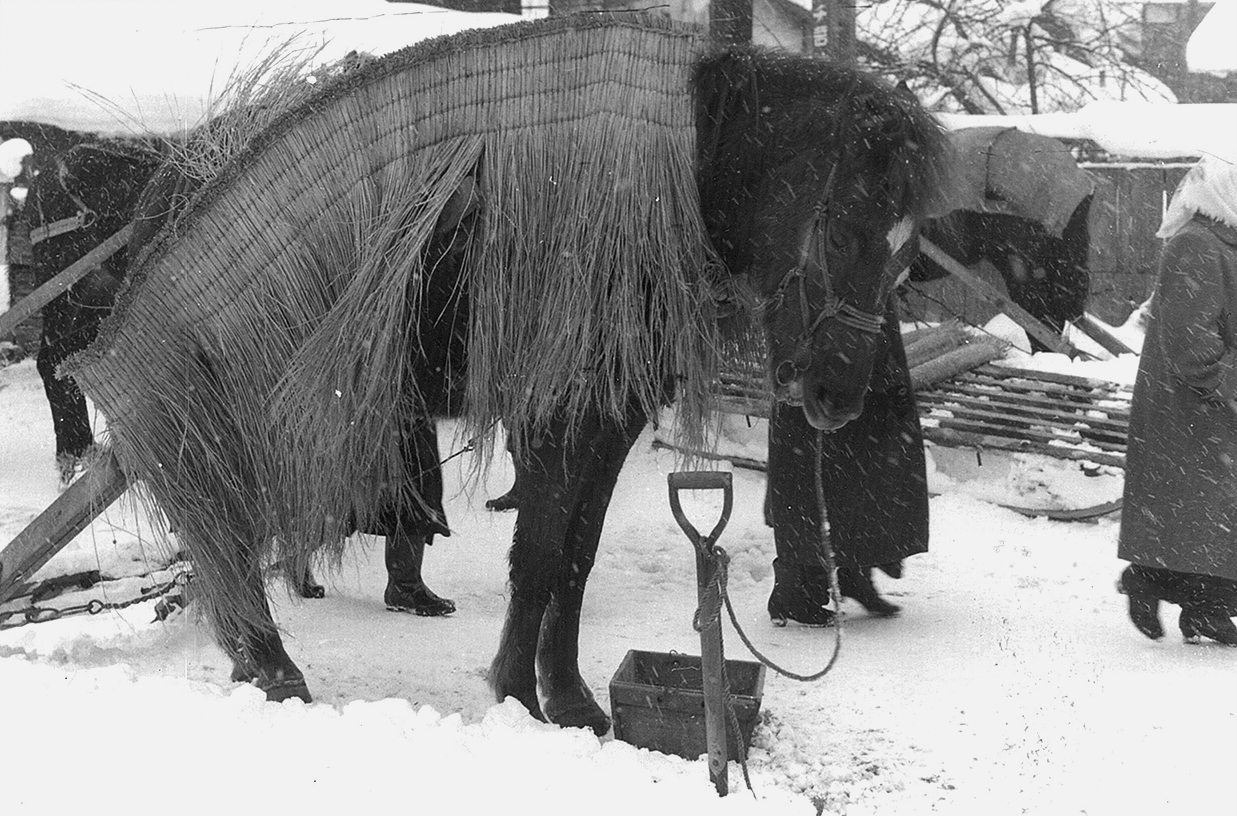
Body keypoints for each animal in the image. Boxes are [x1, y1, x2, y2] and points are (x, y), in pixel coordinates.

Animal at [67, 17, 945, 731]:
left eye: (908, 252)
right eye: (841, 229)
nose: (837, 397)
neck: (680, 169)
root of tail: (167, 184)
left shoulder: (613, 416)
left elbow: (576, 559)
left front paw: (568, 696)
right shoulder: (560, 414)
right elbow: (542, 556)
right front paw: (523, 695)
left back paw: (258, 653)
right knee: (211, 509)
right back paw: (271, 665)